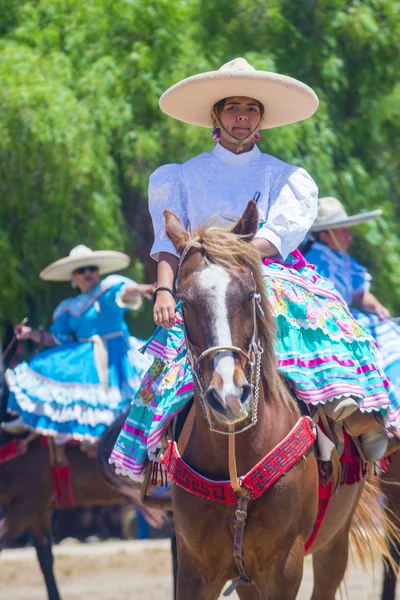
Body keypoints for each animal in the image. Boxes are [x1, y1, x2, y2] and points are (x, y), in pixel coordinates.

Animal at [165, 202, 390, 600]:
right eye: (184, 301)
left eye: (248, 293)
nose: (229, 396)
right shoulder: (194, 569)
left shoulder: (284, 568)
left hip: (335, 542)